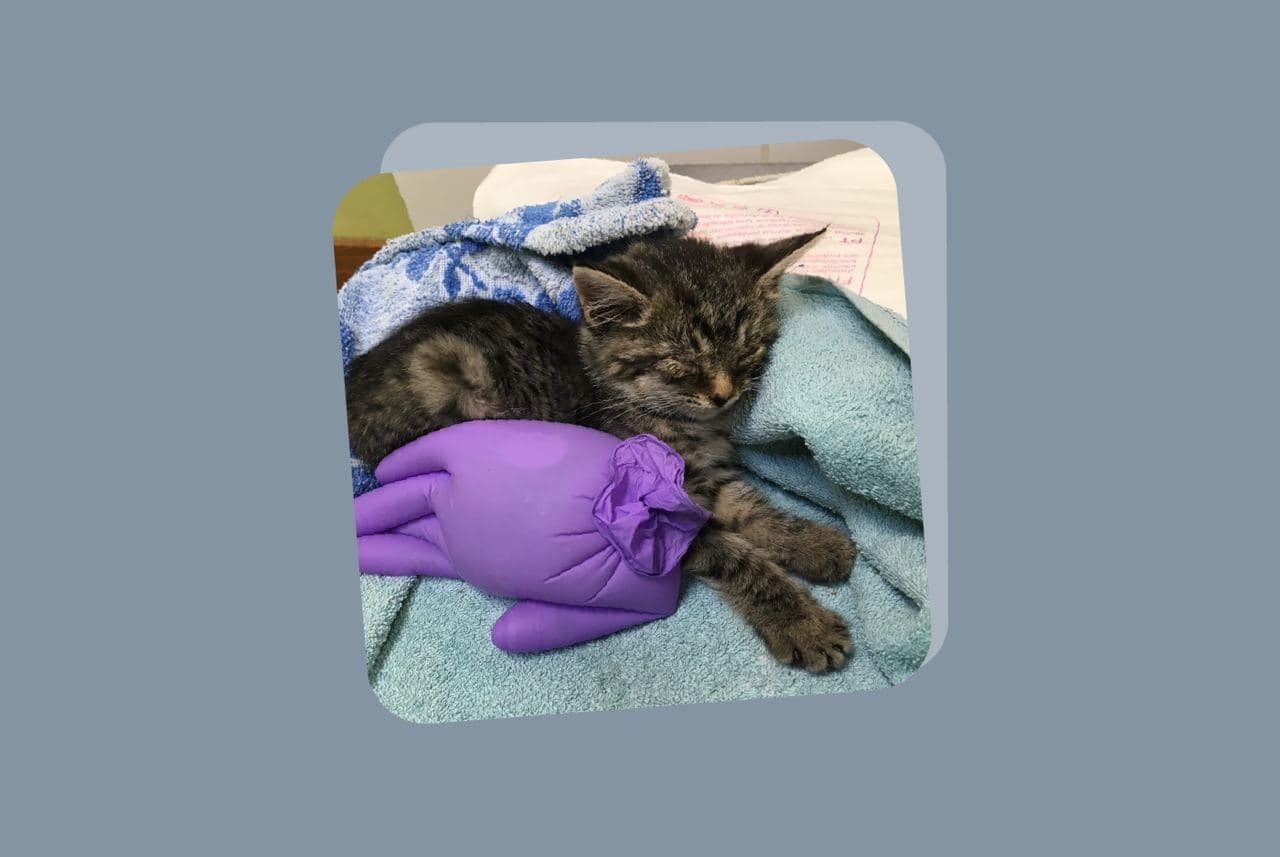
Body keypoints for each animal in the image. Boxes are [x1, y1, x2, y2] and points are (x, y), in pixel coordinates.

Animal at [344, 229, 856, 672]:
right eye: (682, 363)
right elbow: (735, 557)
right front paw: (801, 623)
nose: (724, 395)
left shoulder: (705, 478)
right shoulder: (655, 512)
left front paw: (813, 543)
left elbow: (751, 508)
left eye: (747, 352)